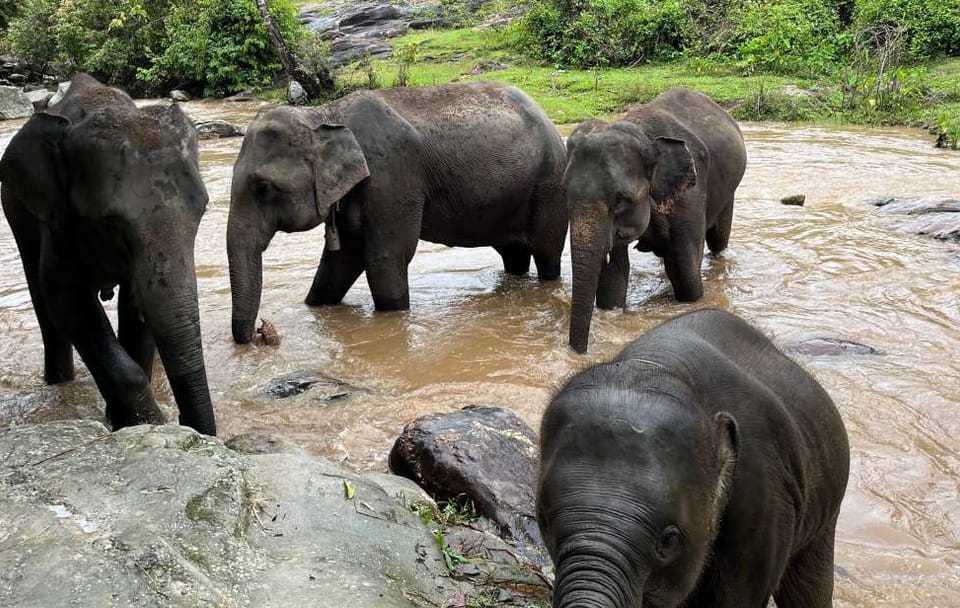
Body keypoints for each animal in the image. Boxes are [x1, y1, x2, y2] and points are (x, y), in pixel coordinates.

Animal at [0, 74, 216, 435]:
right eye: (111, 221)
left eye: (203, 209)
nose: (188, 424)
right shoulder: (58, 221)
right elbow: (67, 302)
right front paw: (147, 422)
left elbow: (136, 310)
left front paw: (124, 422)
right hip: (16, 205)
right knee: (42, 299)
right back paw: (58, 382)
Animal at [227, 81, 568, 343]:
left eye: (264, 188)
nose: (260, 333)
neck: (326, 114)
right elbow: (340, 262)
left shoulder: (392, 177)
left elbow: (385, 259)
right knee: (514, 254)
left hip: (548, 186)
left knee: (547, 253)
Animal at [565, 87, 747, 353]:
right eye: (563, 194)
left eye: (621, 199)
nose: (579, 353)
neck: (644, 136)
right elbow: (614, 274)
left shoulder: (690, 196)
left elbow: (684, 270)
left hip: (729, 191)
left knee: (717, 240)